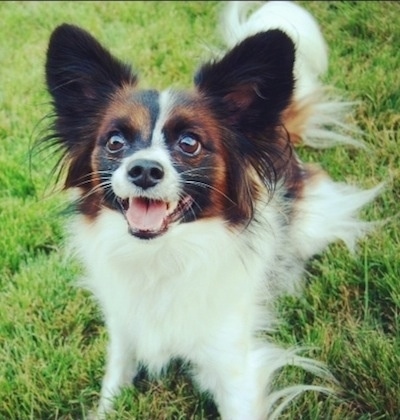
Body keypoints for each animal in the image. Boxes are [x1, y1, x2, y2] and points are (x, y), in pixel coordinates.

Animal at [45, 1, 380, 418]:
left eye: (190, 143)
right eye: (115, 142)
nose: (144, 170)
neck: (162, 255)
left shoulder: (234, 363)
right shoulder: (123, 327)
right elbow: (114, 382)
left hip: (310, 224)